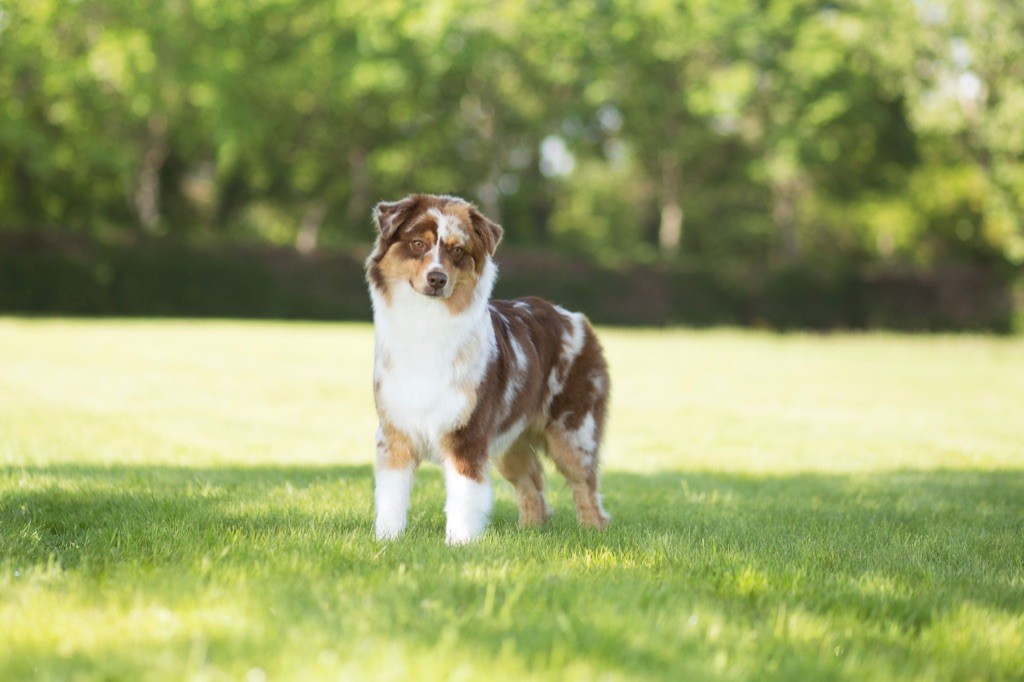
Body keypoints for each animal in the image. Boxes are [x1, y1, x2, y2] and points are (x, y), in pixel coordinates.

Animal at [366, 192, 606, 540]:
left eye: (457, 250)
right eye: (417, 244)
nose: (437, 279)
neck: (426, 321)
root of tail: (574, 318)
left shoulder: (468, 435)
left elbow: (464, 496)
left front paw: (459, 543)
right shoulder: (395, 431)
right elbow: (391, 496)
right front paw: (388, 539)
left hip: (574, 431)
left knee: (585, 485)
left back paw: (594, 532)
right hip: (510, 442)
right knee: (532, 487)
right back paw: (529, 534)